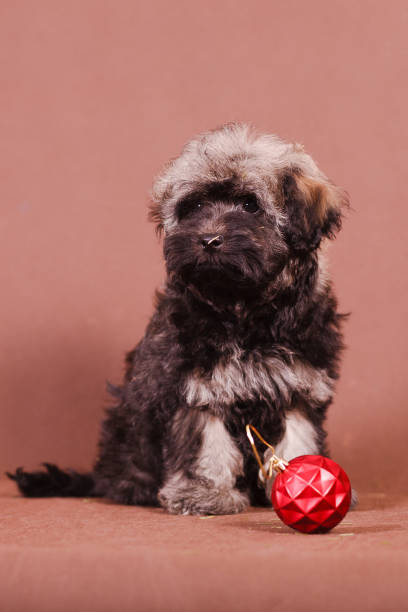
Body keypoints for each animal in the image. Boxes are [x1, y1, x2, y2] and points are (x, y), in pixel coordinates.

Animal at [7, 122, 350, 512]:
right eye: (195, 206)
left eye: (250, 205)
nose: (209, 239)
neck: (243, 309)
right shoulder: (196, 385)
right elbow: (206, 443)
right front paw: (204, 492)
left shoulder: (301, 384)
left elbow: (299, 436)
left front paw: (302, 484)